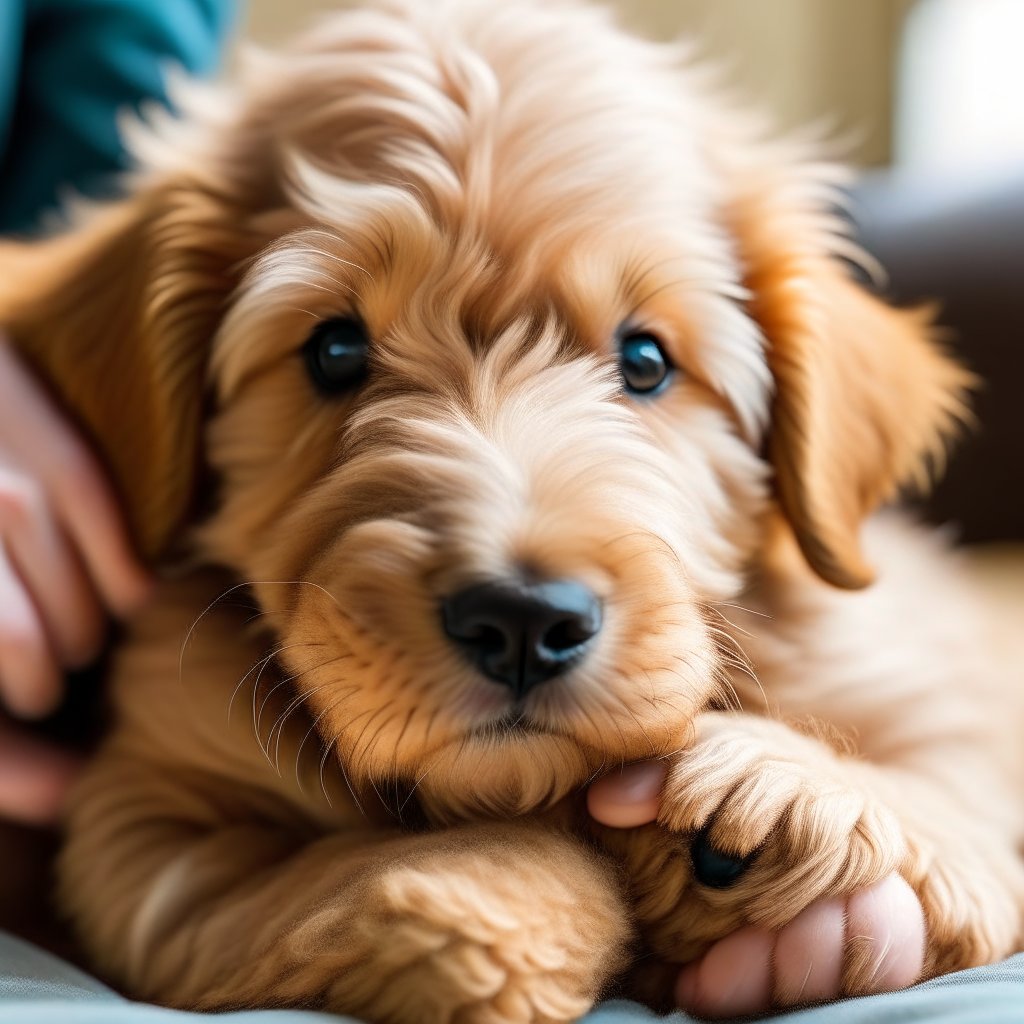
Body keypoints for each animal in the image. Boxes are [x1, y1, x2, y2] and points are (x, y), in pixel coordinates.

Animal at [2, 0, 1024, 1019]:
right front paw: (497, 923)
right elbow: (374, 865)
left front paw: (784, 789)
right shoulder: (150, 827)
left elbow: (961, 802)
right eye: (335, 350)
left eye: (645, 361)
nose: (524, 620)